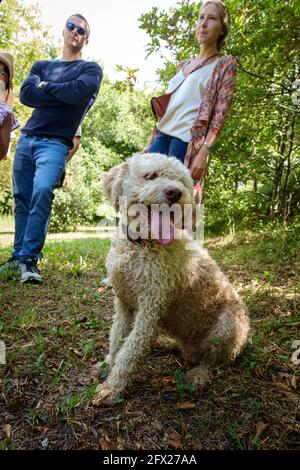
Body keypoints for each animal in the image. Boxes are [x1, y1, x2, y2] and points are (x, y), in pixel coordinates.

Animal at [92, 153, 251, 404]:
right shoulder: (124, 304)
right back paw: (164, 343)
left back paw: (198, 375)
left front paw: (113, 386)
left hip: (228, 327)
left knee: (211, 362)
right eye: (151, 175)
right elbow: (116, 338)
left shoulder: (150, 309)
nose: (175, 192)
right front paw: (108, 363)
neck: (141, 245)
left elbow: (130, 351)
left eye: (181, 181)